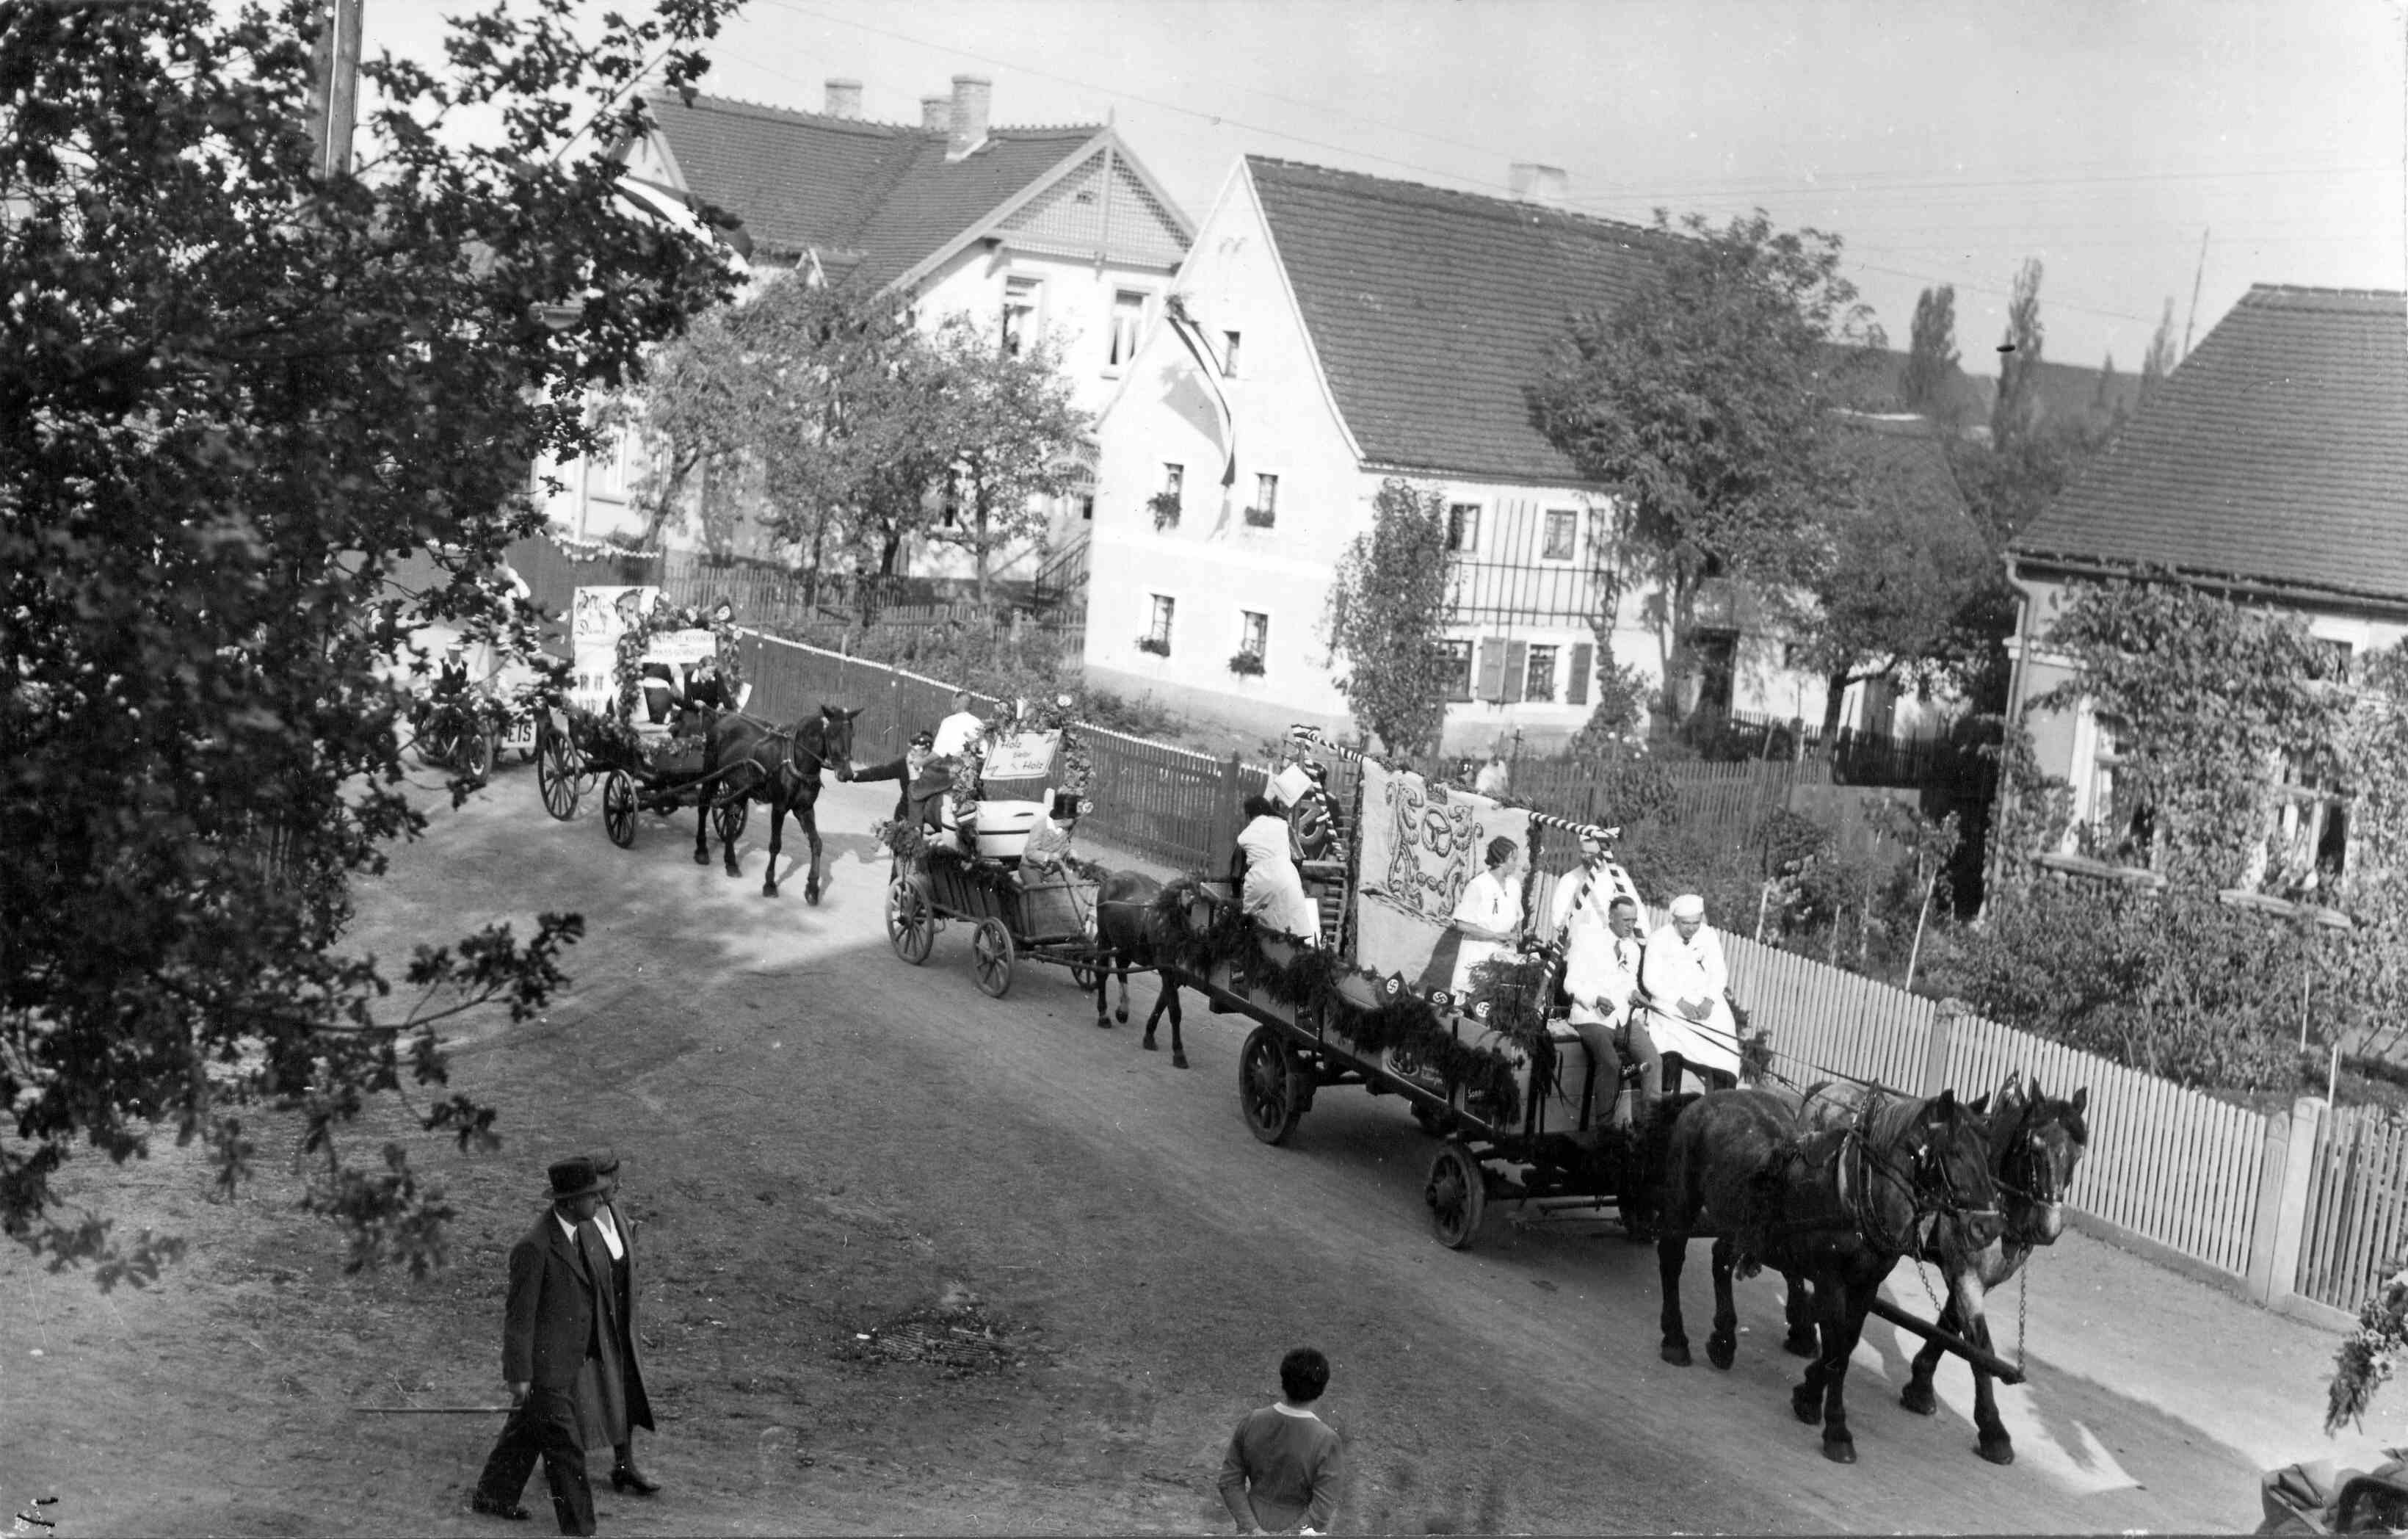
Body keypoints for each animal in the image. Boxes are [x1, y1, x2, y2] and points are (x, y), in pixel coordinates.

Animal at [703, 708, 862, 910]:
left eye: (852, 734)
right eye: (832, 734)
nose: (847, 774)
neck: (795, 760)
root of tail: (723, 718)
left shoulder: (805, 809)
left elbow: (816, 844)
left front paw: (812, 888)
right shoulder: (779, 808)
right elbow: (775, 845)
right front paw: (770, 884)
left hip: (740, 789)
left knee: (731, 817)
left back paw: (731, 864)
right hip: (712, 774)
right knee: (703, 807)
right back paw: (701, 851)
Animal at [1088, 866, 1189, 1069]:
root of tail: (1114, 876)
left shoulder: (1175, 974)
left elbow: (1162, 1002)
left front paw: (1149, 1036)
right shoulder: (1167, 969)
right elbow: (1174, 1010)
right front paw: (1179, 1052)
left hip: (1127, 944)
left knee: (1121, 967)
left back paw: (1123, 1009)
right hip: (1104, 936)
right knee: (1102, 971)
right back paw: (1104, 1015)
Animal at [1656, 1088, 2013, 1464]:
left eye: (1988, 1155)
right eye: (1955, 1151)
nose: (1989, 1227)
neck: (1857, 1193)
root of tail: (1707, 1098)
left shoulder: (1866, 1286)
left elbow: (1844, 1347)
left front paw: (1808, 1397)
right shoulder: (1831, 1281)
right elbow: (1836, 1349)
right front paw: (1837, 1430)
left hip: (1742, 1222)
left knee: (1721, 1259)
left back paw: (1723, 1340)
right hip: (1682, 1198)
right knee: (1672, 1258)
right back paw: (1675, 1339)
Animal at [1772, 1069, 2090, 1464]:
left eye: (2078, 1154)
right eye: (2035, 1147)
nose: (2049, 1227)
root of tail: (1827, 1089)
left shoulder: (1972, 1278)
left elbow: (1949, 1327)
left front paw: (1920, 1386)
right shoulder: (1965, 1274)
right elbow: (1980, 1349)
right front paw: (1993, 1430)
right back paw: (1802, 1326)